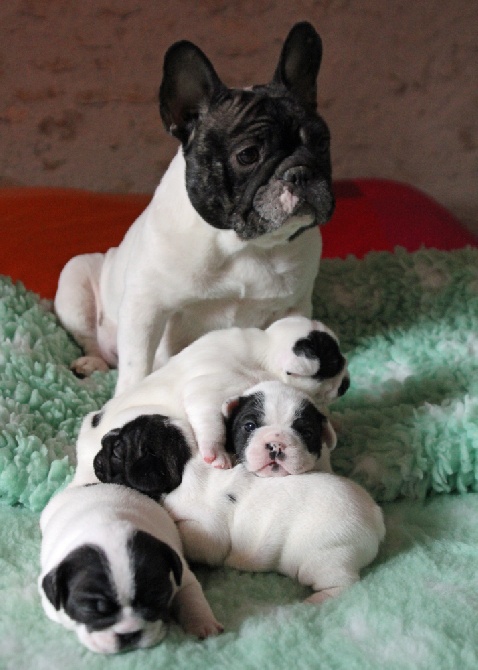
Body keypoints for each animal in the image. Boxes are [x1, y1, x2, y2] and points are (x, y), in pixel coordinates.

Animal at [38, 484, 223, 656]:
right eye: (93, 609)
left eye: (156, 598)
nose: (129, 633)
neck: (108, 521)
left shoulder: (183, 579)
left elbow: (192, 600)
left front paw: (202, 624)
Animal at [53, 22, 336, 400]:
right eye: (248, 154)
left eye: (322, 143)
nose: (301, 171)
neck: (242, 245)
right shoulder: (146, 306)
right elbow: (136, 363)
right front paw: (128, 397)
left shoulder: (294, 306)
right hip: (74, 279)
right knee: (92, 341)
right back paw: (92, 362)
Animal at [73, 316, 350, 478]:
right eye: (335, 363)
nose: (347, 385)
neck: (262, 354)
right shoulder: (207, 391)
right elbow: (211, 423)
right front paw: (216, 453)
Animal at [163, 460, 384, 608]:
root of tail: (375, 517)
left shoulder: (211, 530)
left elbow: (201, 541)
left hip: (327, 556)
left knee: (342, 583)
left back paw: (316, 600)